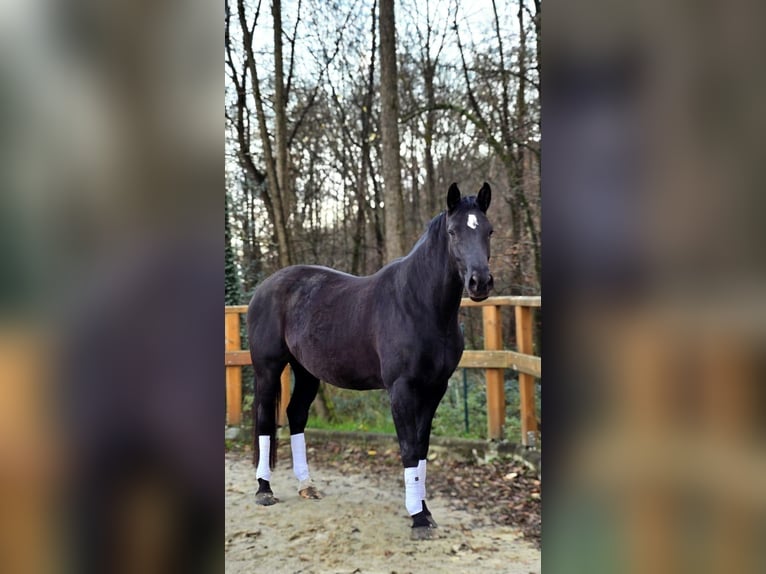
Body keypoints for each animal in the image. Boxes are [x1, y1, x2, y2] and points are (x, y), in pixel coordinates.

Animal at [249, 183, 496, 540]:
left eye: (489, 231)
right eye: (453, 232)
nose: (480, 283)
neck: (419, 305)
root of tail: (264, 287)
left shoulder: (436, 388)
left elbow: (422, 448)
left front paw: (425, 511)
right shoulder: (401, 389)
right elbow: (408, 448)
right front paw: (418, 519)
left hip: (306, 372)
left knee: (296, 414)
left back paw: (306, 485)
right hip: (268, 369)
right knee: (266, 421)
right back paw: (264, 489)